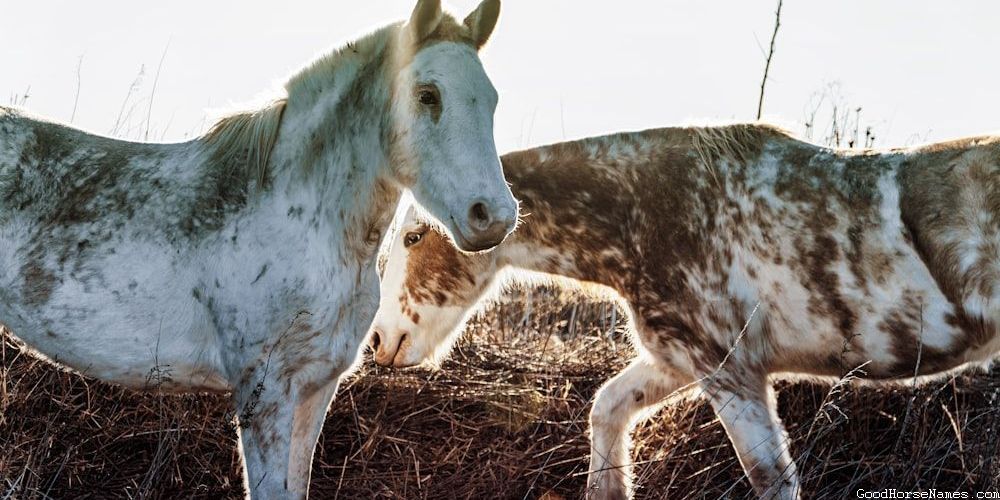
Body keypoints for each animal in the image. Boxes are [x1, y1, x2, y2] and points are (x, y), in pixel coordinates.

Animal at [369, 124, 1000, 499]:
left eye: (413, 237)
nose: (379, 342)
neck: (643, 213)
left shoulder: (730, 371)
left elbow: (771, 480)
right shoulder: (680, 358)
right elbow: (607, 408)